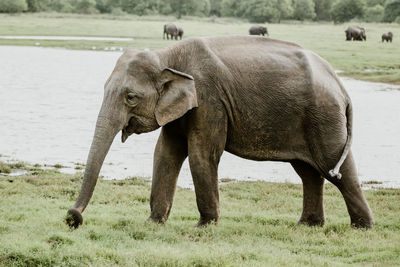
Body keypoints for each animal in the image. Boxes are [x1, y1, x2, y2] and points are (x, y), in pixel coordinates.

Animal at [65, 36, 376, 231]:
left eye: (130, 97)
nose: (72, 217)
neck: (168, 54)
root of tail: (339, 84)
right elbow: (165, 153)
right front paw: (152, 224)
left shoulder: (209, 99)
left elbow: (201, 154)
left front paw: (203, 227)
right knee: (308, 172)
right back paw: (306, 226)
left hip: (323, 116)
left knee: (335, 168)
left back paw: (362, 228)